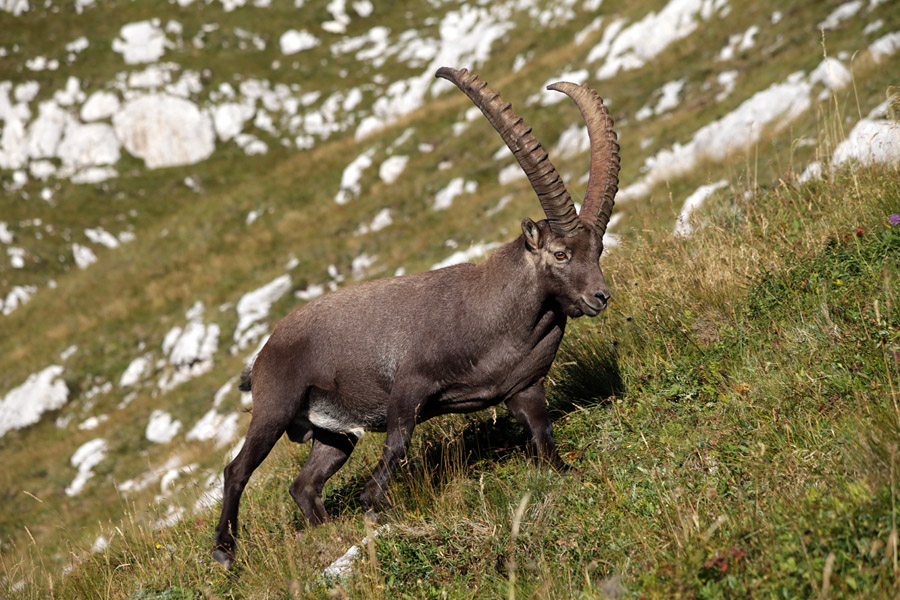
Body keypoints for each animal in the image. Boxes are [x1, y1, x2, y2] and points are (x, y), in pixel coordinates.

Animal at [212, 67, 620, 570]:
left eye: (597, 248)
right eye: (561, 253)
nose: (599, 297)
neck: (498, 318)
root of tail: (264, 351)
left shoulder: (524, 388)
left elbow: (543, 436)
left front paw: (566, 471)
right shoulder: (409, 385)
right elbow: (398, 441)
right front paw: (372, 502)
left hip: (333, 435)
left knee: (303, 484)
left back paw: (323, 530)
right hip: (276, 406)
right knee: (236, 470)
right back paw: (225, 551)